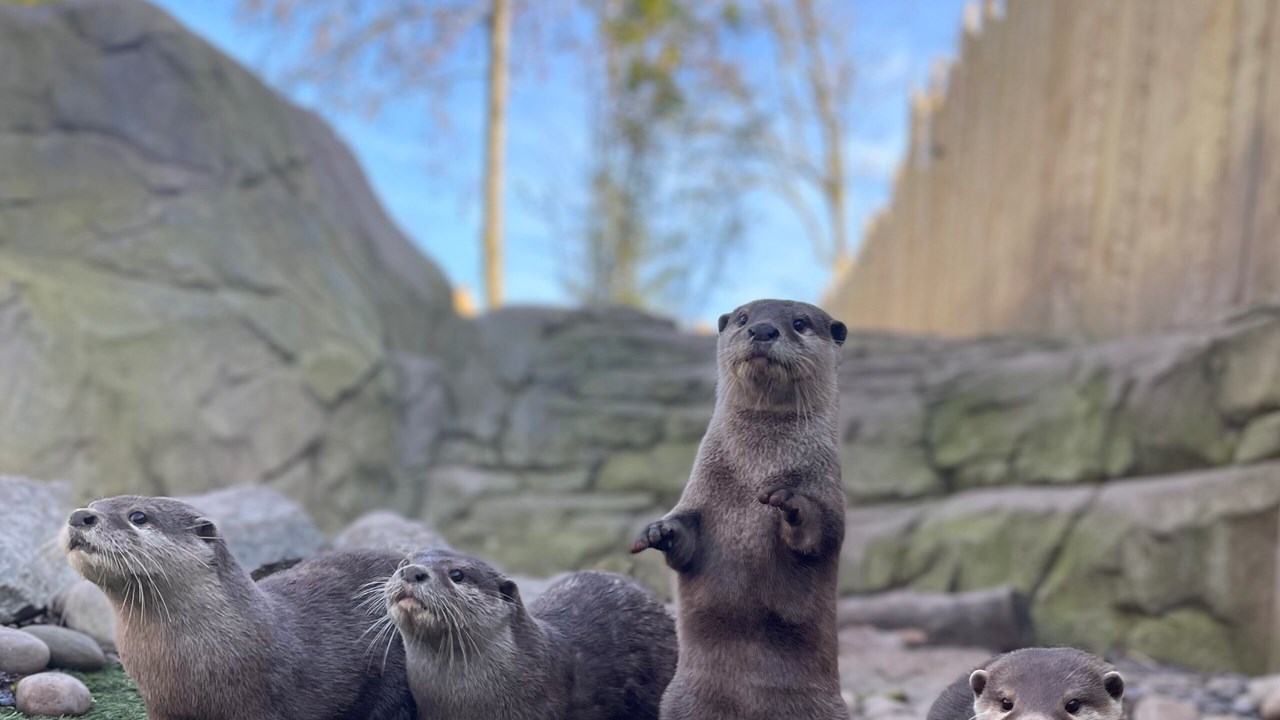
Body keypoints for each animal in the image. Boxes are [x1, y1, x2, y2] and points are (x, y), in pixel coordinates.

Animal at [631, 298, 849, 720]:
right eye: (743, 318)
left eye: (800, 323)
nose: (763, 329)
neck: (757, 467)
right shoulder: (700, 492)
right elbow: (686, 542)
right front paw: (660, 532)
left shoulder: (829, 491)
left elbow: (822, 533)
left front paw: (788, 502)